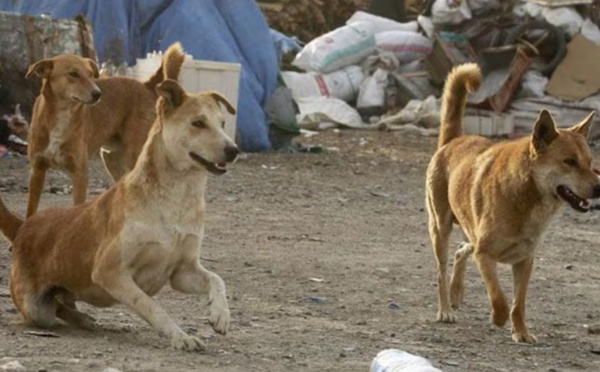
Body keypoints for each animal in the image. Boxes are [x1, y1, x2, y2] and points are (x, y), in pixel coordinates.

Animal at [0, 78, 239, 352]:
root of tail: (24, 226)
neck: (177, 199)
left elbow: (217, 279)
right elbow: (152, 306)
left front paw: (220, 315)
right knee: (53, 310)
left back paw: (83, 319)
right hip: (36, 309)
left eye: (222, 123)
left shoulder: (183, 272)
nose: (234, 150)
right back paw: (81, 319)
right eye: (198, 123)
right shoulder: (110, 271)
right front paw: (180, 336)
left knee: (63, 304)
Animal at [25, 42, 185, 217]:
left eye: (90, 74)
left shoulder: (79, 173)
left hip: (135, 155)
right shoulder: (37, 170)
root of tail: (145, 85)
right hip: (111, 159)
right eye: (73, 74)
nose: (98, 94)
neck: (62, 115)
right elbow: (30, 210)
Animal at [426, 63, 600, 342]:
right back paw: (445, 310)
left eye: (590, 162)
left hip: (468, 231)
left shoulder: (524, 261)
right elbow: (500, 298)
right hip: (440, 229)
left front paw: (522, 333)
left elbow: (519, 303)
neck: (527, 196)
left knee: (461, 251)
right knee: (441, 271)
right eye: (569, 162)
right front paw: (498, 319)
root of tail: (453, 140)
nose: (599, 187)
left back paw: (456, 293)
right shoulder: (485, 255)